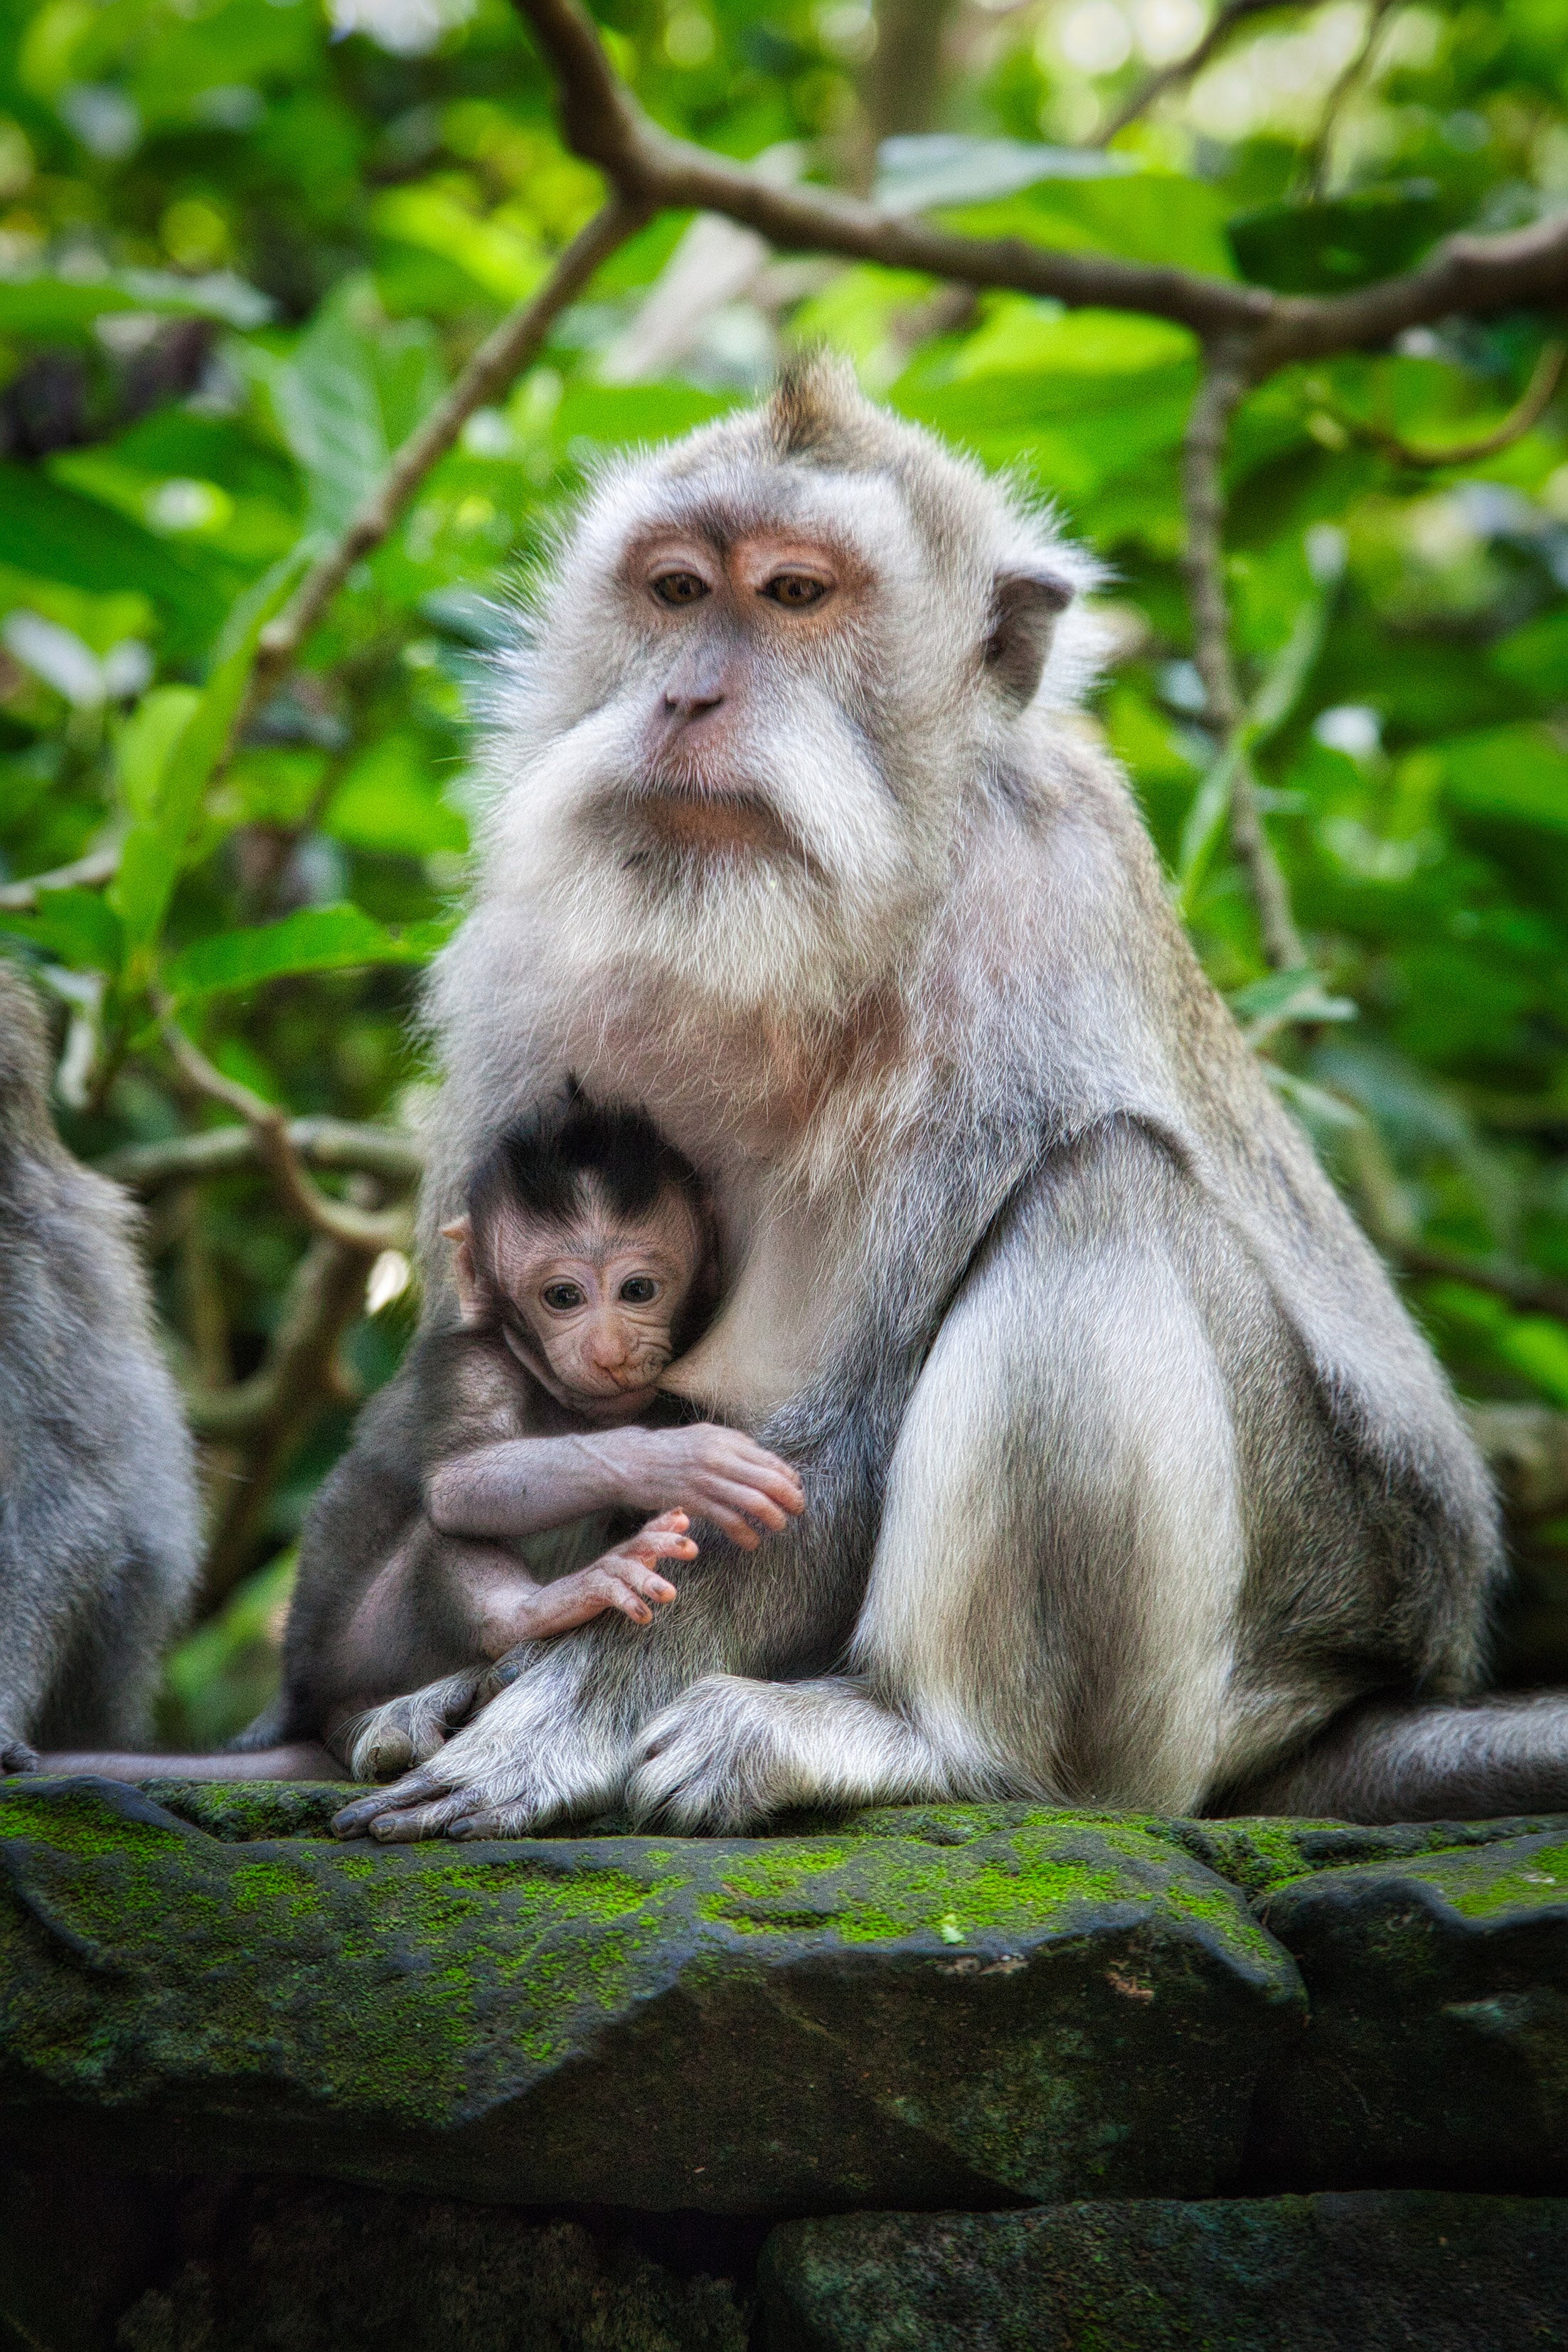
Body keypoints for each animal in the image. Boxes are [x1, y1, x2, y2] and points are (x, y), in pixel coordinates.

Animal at [318, 353, 1559, 1847]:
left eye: (795, 594)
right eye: (676, 590)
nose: (687, 700)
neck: (803, 938)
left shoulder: (1028, 922)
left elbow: (850, 1431)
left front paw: (549, 1726)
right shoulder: (529, 953)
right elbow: (501, 1385)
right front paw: (471, 1674)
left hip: (1273, 1620)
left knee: (1096, 1196)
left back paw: (933, 1743)